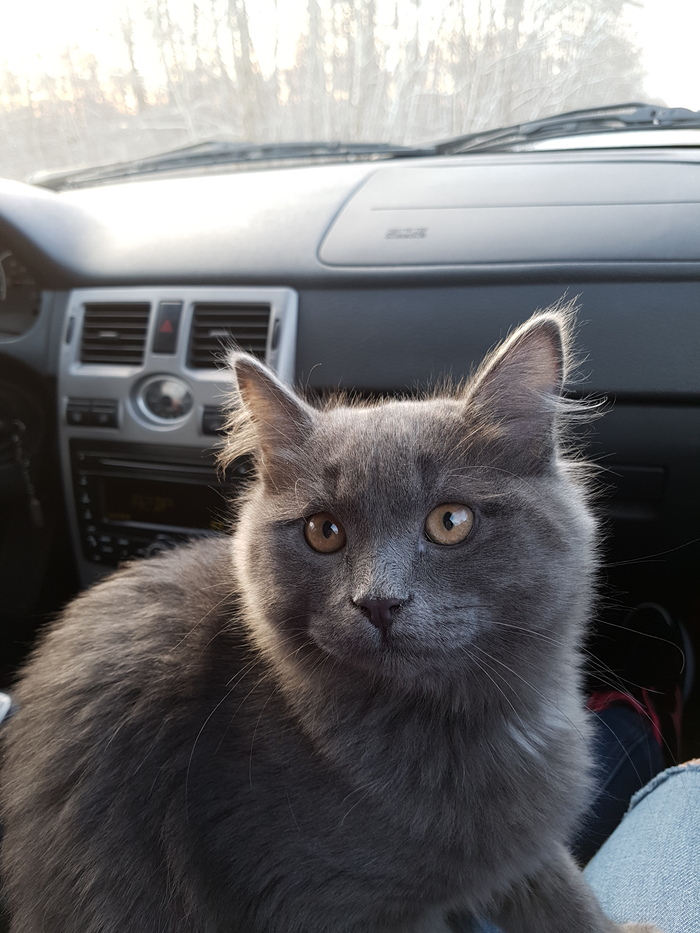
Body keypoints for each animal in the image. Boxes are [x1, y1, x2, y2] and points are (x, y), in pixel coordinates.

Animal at [0, 308, 661, 933]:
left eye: (451, 521)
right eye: (324, 531)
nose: (378, 602)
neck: (458, 725)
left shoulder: (524, 849)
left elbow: (563, 893)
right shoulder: (324, 902)